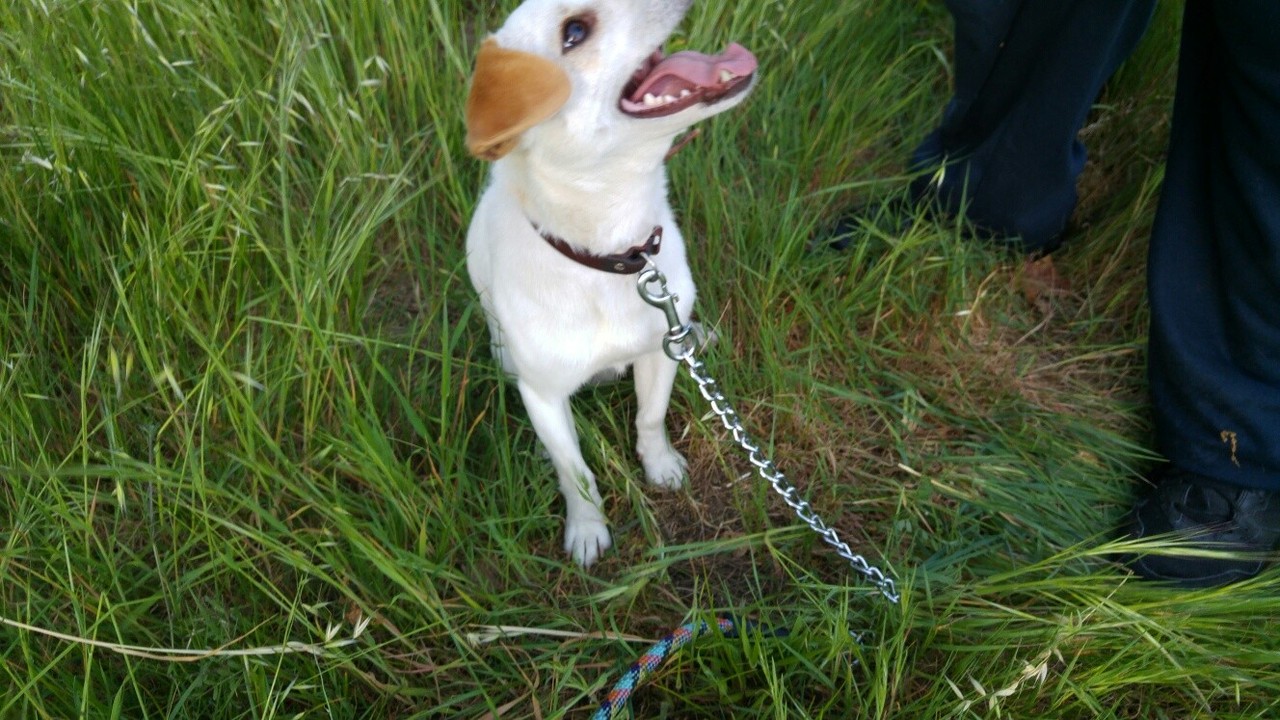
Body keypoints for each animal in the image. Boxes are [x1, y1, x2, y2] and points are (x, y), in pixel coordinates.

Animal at [463, 0, 757, 566]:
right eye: (574, 32)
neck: (615, 256)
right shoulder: (542, 393)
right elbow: (575, 471)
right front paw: (587, 529)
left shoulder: (658, 352)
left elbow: (650, 418)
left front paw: (660, 467)